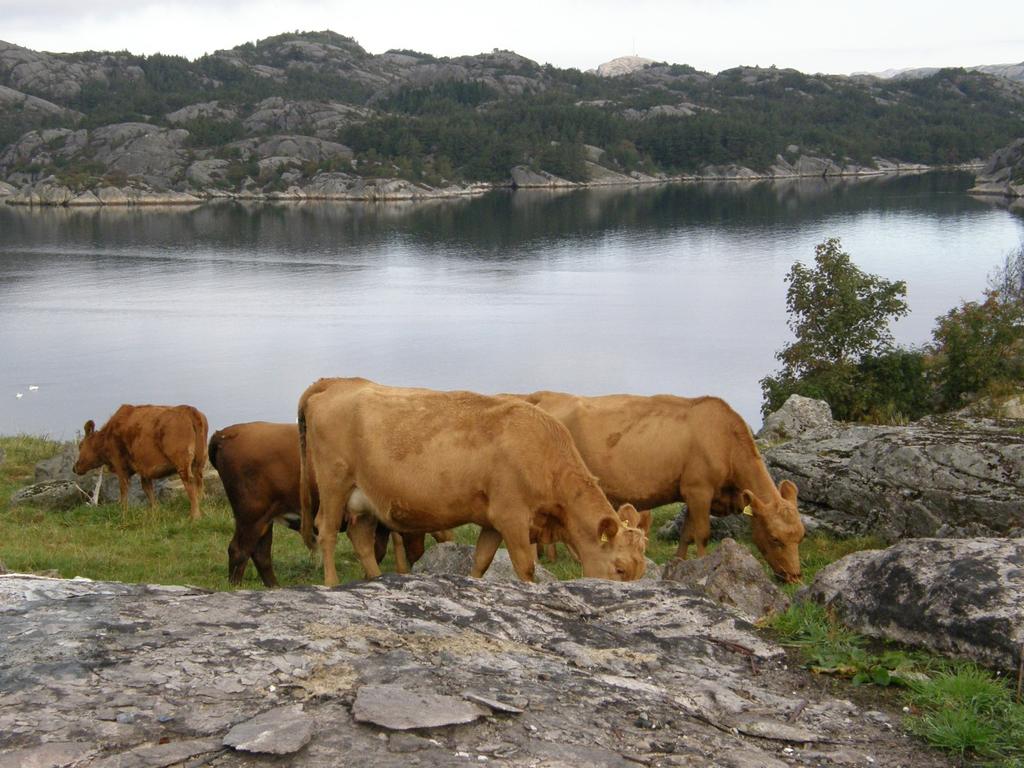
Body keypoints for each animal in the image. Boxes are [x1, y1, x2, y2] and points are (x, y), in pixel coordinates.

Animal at [73, 403, 207, 524]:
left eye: (80, 445)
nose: (75, 467)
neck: (106, 436)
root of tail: (189, 410)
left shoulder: (120, 465)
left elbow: (124, 490)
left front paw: (123, 512)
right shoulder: (144, 469)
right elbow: (147, 489)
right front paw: (155, 511)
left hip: (182, 461)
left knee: (189, 482)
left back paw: (194, 516)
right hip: (199, 462)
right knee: (199, 482)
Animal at [209, 421, 450, 589]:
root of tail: (226, 433)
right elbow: (382, 550)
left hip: (265, 519)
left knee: (260, 553)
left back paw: (274, 587)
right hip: (251, 516)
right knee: (239, 550)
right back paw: (236, 588)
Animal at [299, 380, 647, 589]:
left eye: (640, 571)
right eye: (619, 569)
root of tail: (339, 383)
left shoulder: (493, 521)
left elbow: (481, 561)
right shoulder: (512, 517)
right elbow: (525, 567)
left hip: (364, 497)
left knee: (360, 537)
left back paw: (376, 578)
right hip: (334, 484)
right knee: (327, 532)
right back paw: (331, 584)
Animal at [524, 391, 802, 581]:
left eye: (801, 536)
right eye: (775, 538)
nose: (795, 577)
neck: (723, 439)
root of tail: (546, 398)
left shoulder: (690, 494)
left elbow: (687, 533)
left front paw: (679, 563)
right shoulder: (699, 490)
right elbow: (702, 534)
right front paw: (704, 565)